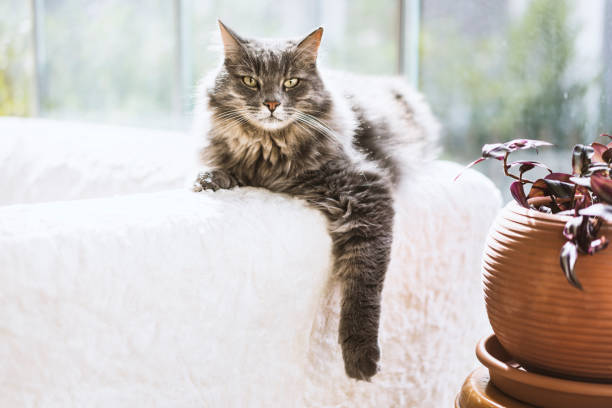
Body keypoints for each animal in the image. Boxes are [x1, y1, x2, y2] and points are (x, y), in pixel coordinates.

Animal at [194, 19, 438, 382]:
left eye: (291, 82)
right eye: (250, 81)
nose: (271, 104)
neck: (269, 152)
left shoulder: (366, 189)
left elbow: (364, 284)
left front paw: (360, 356)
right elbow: (221, 169)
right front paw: (209, 181)